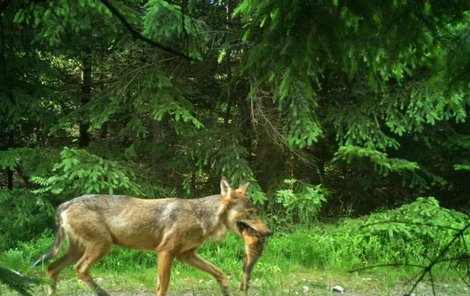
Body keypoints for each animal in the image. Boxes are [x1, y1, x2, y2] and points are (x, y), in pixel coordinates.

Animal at [34, 178, 272, 296]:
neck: (200, 217)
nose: (269, 232)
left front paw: (226, 291)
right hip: (101, 246)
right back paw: (103, 293)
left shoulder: (186, 255)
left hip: (79, 250)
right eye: (252, 213)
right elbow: (162, 288)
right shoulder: (165, 252)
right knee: (79, 269)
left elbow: (220, 273)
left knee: (51, 269)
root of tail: (66, 203)